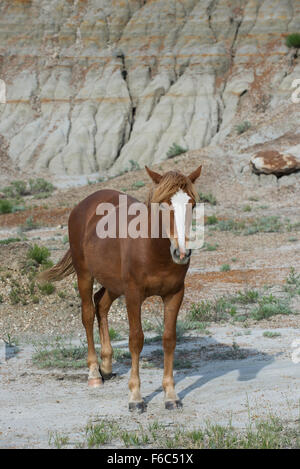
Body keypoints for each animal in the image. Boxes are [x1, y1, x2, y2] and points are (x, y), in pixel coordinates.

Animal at [38, 164, 202, 410]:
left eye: (192, 204)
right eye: (163, 204)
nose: (181, 252)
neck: (153, 250)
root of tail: (82, 205)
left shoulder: (174, 294)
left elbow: (169, 339)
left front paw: (171, 395)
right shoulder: (133, 295)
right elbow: (136, 340)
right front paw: (135, 397)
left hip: (113, 284)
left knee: (101, 304)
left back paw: (106, 366)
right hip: (85, 275)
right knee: (88, 314)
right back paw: (94, 374)